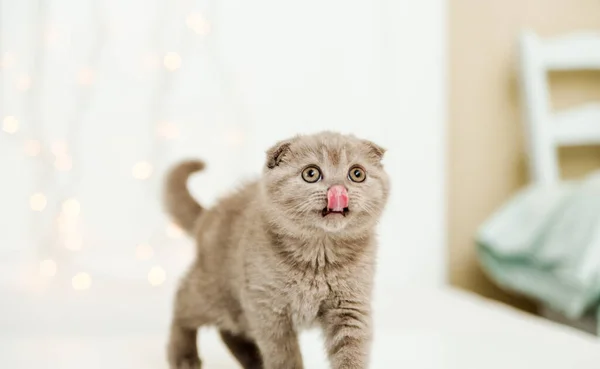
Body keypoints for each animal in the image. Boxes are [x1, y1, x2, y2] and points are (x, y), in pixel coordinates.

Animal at [163, 131, 390, 366]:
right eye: (311, 173)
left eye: (357, 174)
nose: (338, 191)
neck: (319, 254)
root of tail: (208, 214)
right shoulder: (269, 310)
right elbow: (284, 357)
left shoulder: (350, 308)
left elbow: (351, 354)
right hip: (218, 293)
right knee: (182, 301)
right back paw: (184, 357)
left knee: (228, 332)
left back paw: (253, 361)